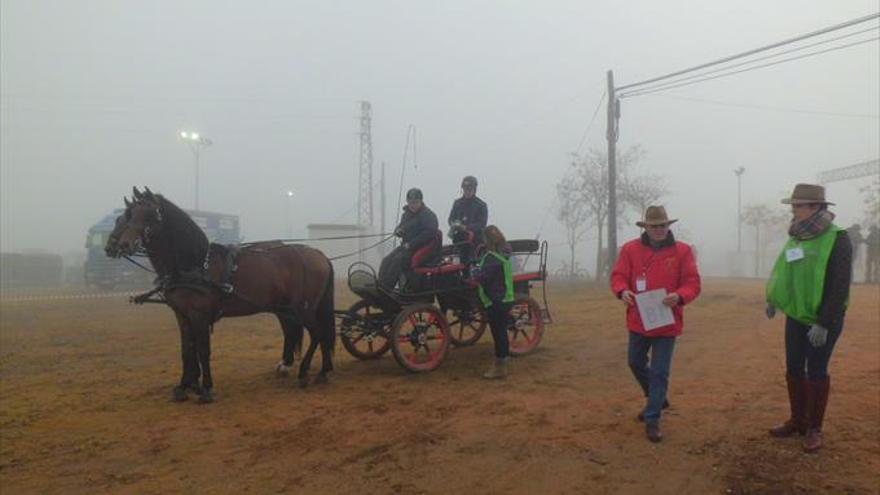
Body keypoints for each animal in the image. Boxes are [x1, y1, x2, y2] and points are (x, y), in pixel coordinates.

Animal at [106, 188, 334, 402]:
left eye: (150, 214)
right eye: (129, 215)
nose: (120, 245)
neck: (195, 264)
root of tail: (318, 254)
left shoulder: (199, 315)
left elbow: (203, 349)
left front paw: (206, 388)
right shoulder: (182, 314)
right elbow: (187, 349)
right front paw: (185, 386)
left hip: (303, 308)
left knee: (318, 332)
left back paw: (306, 372)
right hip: (285, 307)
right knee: (301, 332)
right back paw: (319, 370)